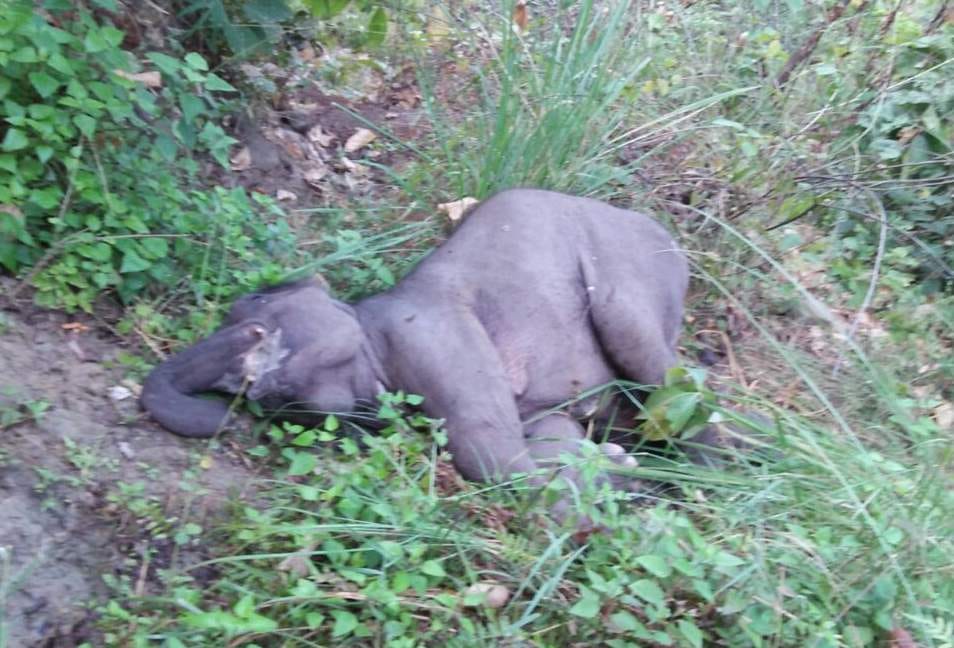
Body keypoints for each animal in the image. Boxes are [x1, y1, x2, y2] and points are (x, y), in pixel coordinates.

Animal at [141, 189, 690, 516]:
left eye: (257, 322)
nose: (226, 415)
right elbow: (549, 441)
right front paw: (616, 468)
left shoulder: (432, 336)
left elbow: (488, 453)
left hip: (624, 275)